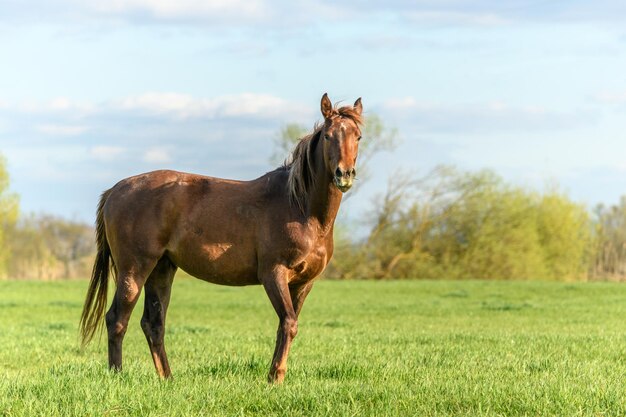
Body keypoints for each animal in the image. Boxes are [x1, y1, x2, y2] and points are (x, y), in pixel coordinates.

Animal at [78, 92, 364, 382]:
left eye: (358, 136)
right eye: (328, 135)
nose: (344, 174)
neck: (300, 208)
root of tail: (115, 190)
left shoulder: (304, 282)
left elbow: (288, 325)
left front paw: (276, 376)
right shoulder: (273, 274)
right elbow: (288, 322)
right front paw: (274, 378)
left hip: (161, 269)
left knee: (153, 323)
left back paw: (167, 378)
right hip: (134, 269)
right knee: (117, 319)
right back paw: (117, 374)